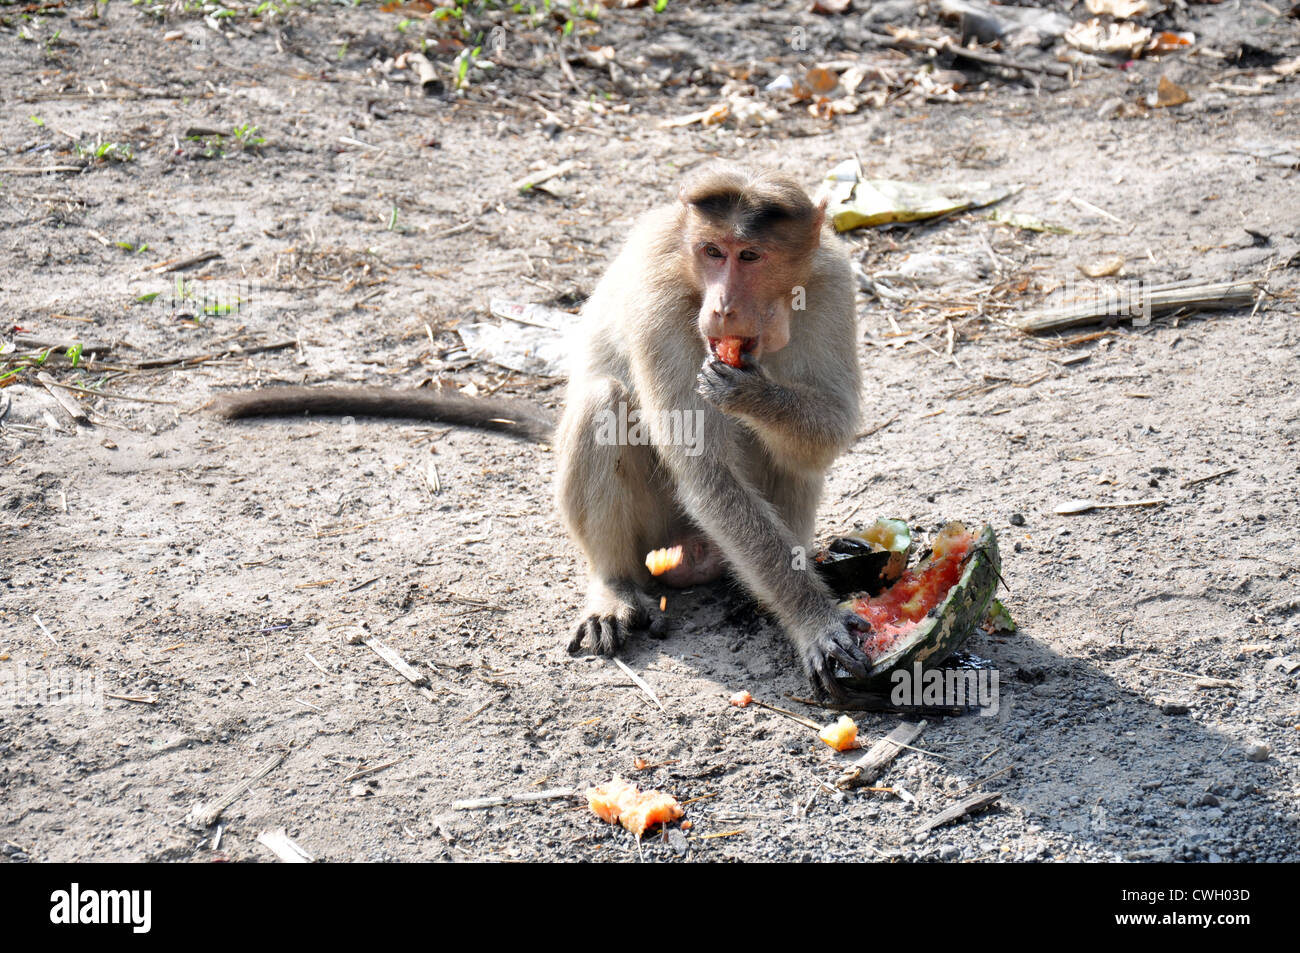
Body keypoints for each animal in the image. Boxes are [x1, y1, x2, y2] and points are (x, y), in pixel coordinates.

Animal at [215, 163, 873, 696]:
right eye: (712, 252)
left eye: (749, 257)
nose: (722, 309)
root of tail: (689, 554)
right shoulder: (661, 297)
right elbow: (703, 468)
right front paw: (813, 620)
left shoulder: (833, 281)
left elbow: (833, 427)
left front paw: (753, 393)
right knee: (604, 401)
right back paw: (612, 586)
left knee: (792, 457)